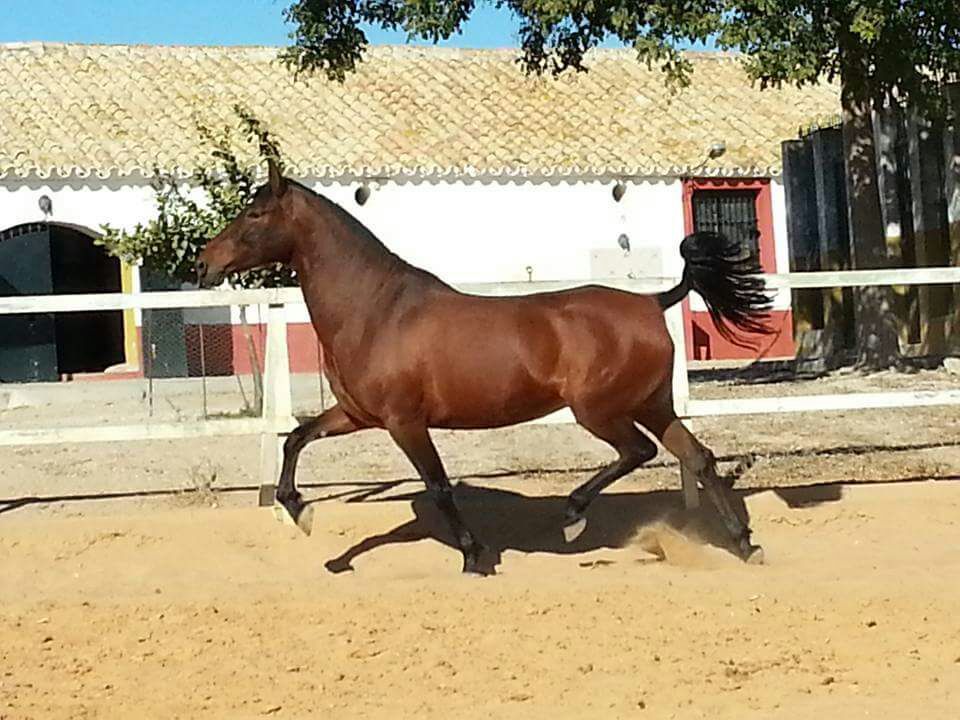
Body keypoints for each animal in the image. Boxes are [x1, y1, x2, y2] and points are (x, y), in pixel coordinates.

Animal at [197, 159, 772, 572]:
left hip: (600, 410)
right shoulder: (358, 415)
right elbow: (296, 438)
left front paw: (475, 556)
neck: (376, 309)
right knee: (698, 457)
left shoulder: (405, 422)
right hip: (652, 404)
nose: (204, 264)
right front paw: (301, 512)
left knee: (639, 452)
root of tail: (654, 302)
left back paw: (573, 515)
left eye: (254, 215)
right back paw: (744, 545)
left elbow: (439, 487)